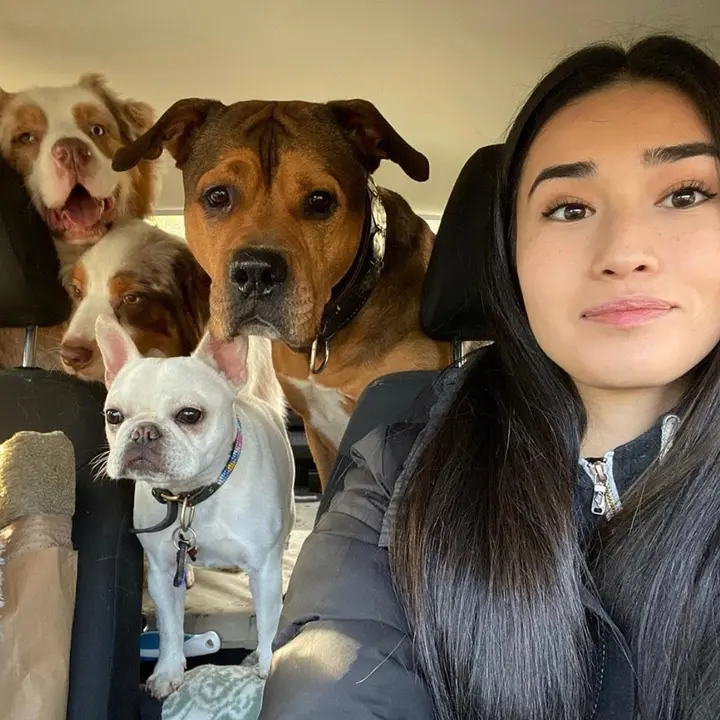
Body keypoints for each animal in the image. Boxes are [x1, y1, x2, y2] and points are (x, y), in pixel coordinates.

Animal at [96, 314, 294, 699]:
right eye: (113, 415)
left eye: (189, 415)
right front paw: (168, 671)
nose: (143, 432)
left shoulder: (264, 571)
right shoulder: (160, 573)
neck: (194, 495)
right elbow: (171, 626)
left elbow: (268, 623)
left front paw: (267, 666)